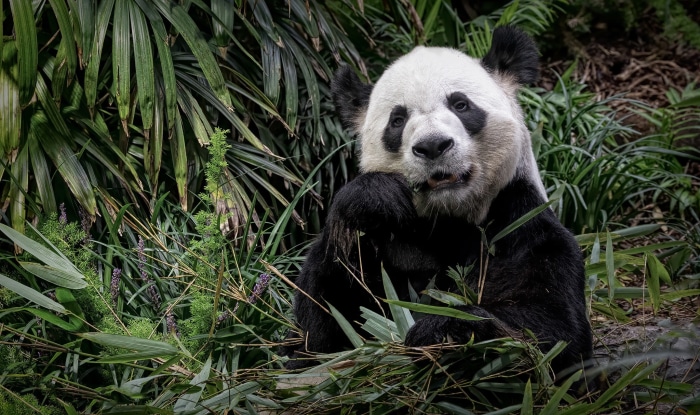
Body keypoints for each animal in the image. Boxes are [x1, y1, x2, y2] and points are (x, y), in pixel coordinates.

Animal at [286, 26, 592, 376]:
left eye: (460, 104)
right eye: (397, 120)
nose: (433, 145)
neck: (449, 218)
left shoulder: (519, 223)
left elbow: (553, 332)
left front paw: (444, 329)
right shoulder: (394, 243)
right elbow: (328, 327)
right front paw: (373, 197)